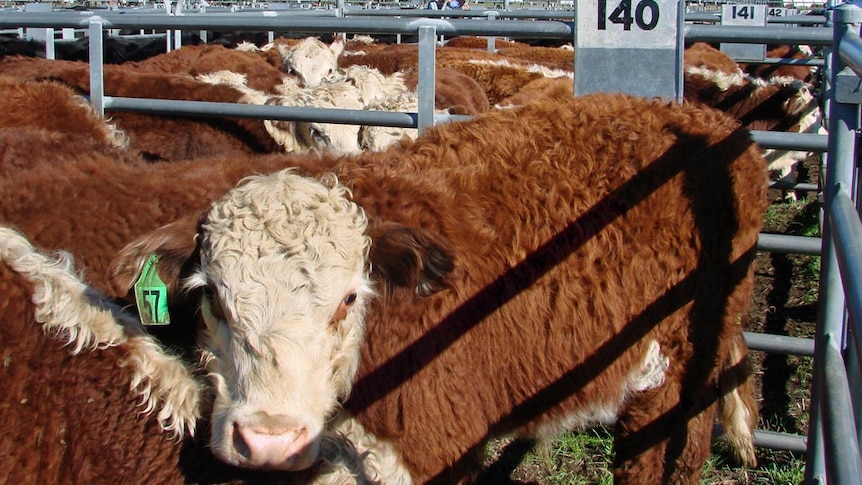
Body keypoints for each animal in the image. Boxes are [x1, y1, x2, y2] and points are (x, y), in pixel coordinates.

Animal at [108, 92, 768, 482]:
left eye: (348, 299)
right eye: (212, 297)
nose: (269, 440)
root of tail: (710, 120)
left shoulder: (436, 447)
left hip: (679, 371)